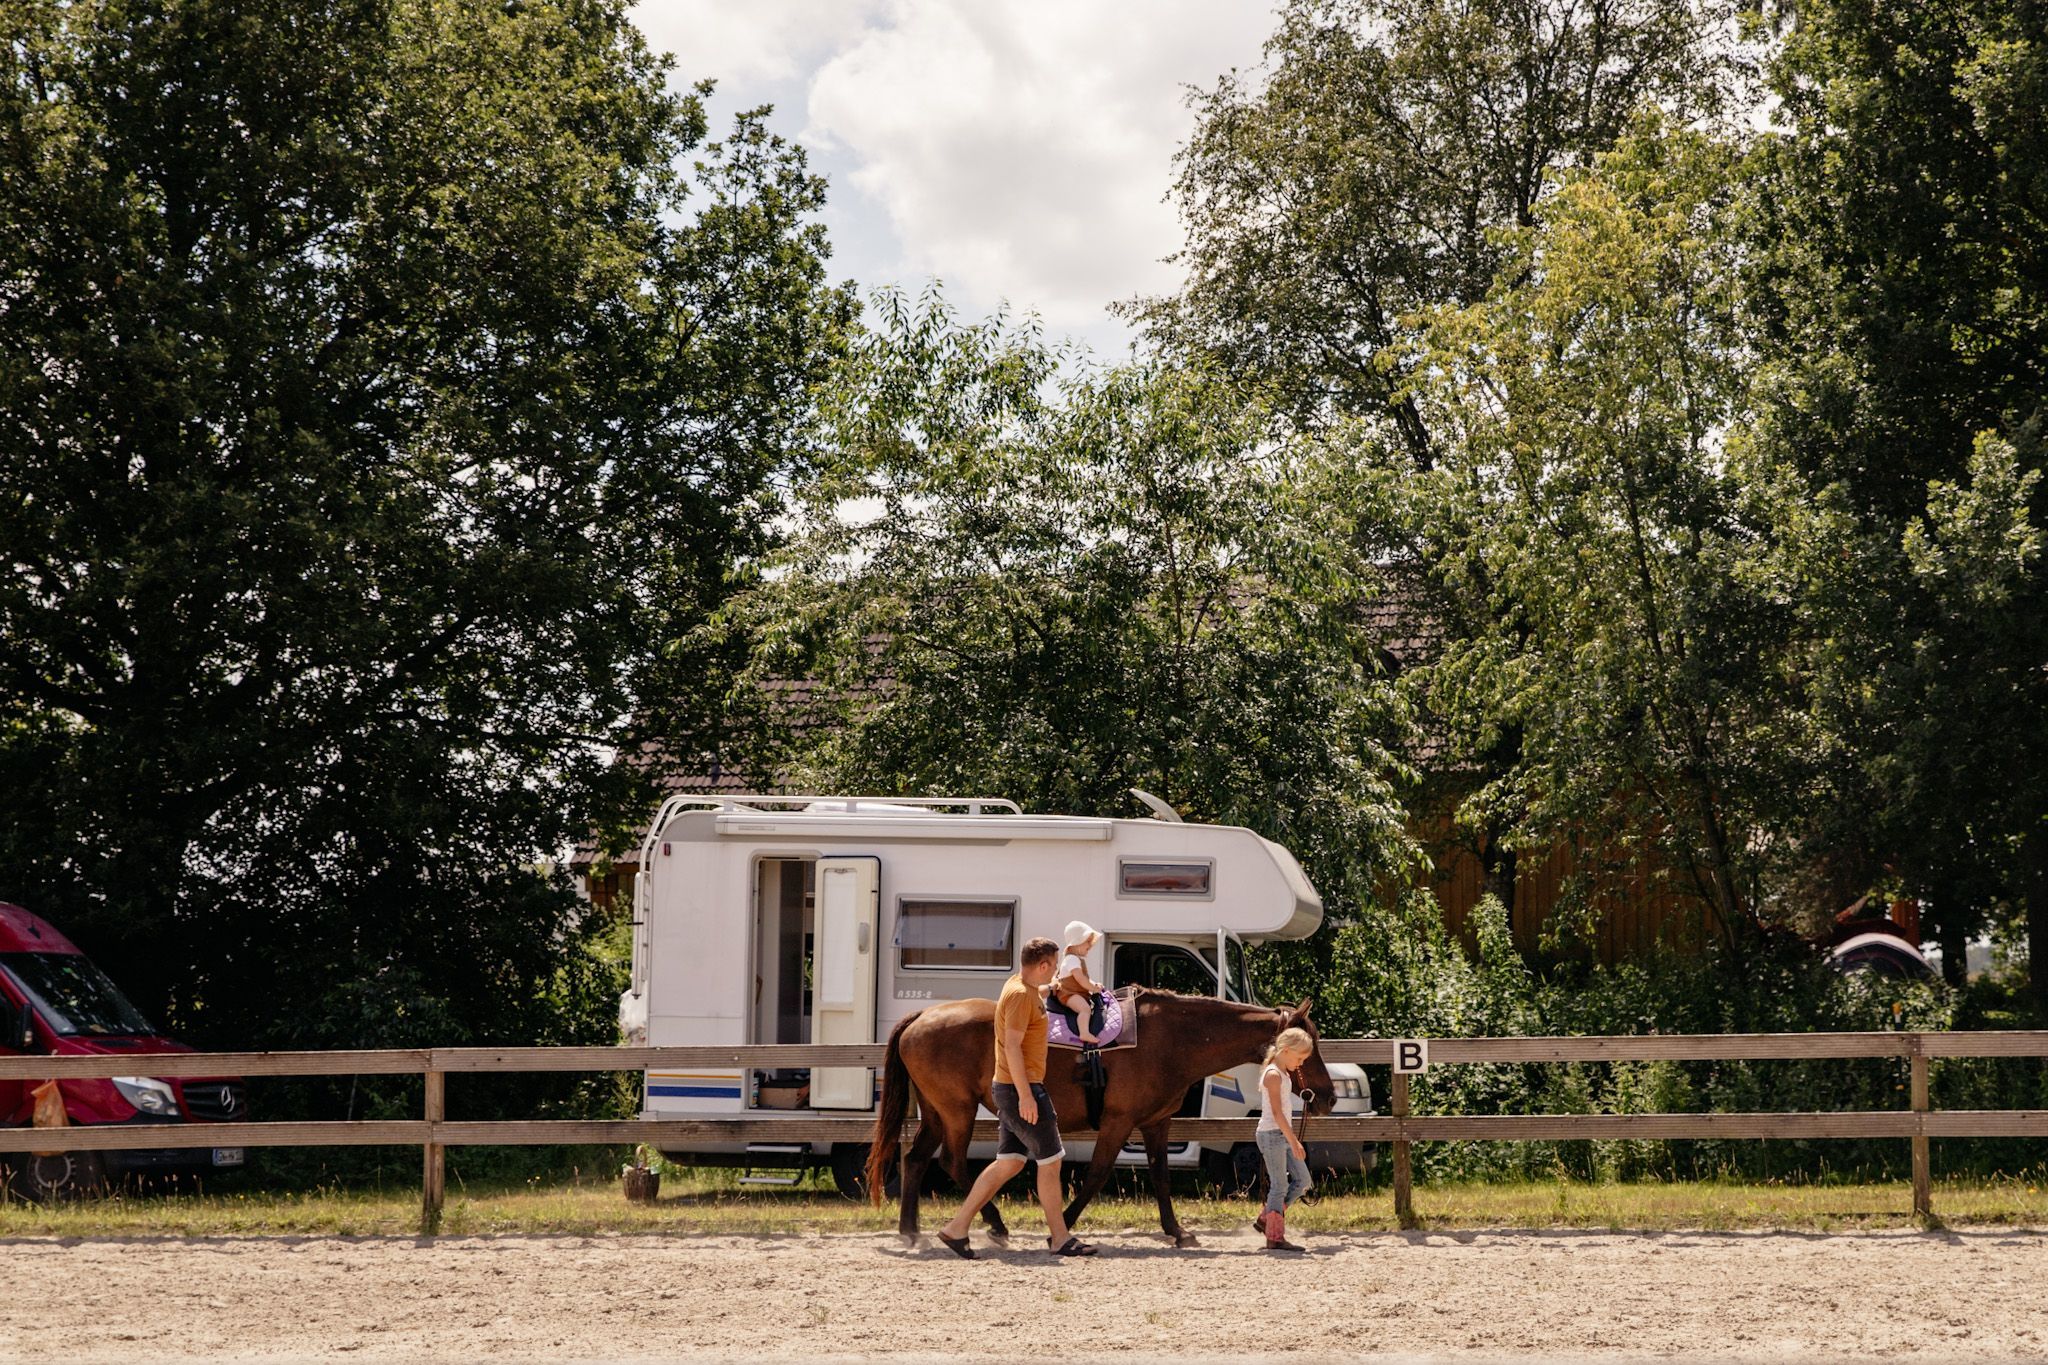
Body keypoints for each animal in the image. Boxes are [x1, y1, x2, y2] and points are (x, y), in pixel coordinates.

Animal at [860, 994, 1327, 1252]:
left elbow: (1159, 1176)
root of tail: (922, 1017)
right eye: (1310, 1046)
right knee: (953, 1163)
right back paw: (993, 1225)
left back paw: (910, 1231)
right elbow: (1097, 1174)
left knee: (916, 1159)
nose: (1327, 1095)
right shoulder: (1118, 1122)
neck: (1170, 1039)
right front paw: (1061, 1226)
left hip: (937, 1112)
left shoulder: (1156, 1124)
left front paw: (1178, 1232)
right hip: (956, 1111)